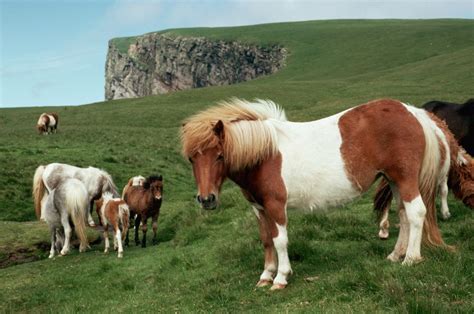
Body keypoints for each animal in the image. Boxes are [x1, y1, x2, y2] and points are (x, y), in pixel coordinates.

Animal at [180, 98, 462, 290]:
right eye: (191, 158)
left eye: (219, 155)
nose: (207, 200)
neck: (264, 154)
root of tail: (412, 112)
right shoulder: (259, 208)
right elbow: (266, 240)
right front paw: (266, 275)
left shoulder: (275, 205)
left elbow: (280, 240)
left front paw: (281, 278)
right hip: (393, 180)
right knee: (403, 215)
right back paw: (395, 255)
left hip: (405, 178)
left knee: (416, 214)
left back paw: (411, 259)